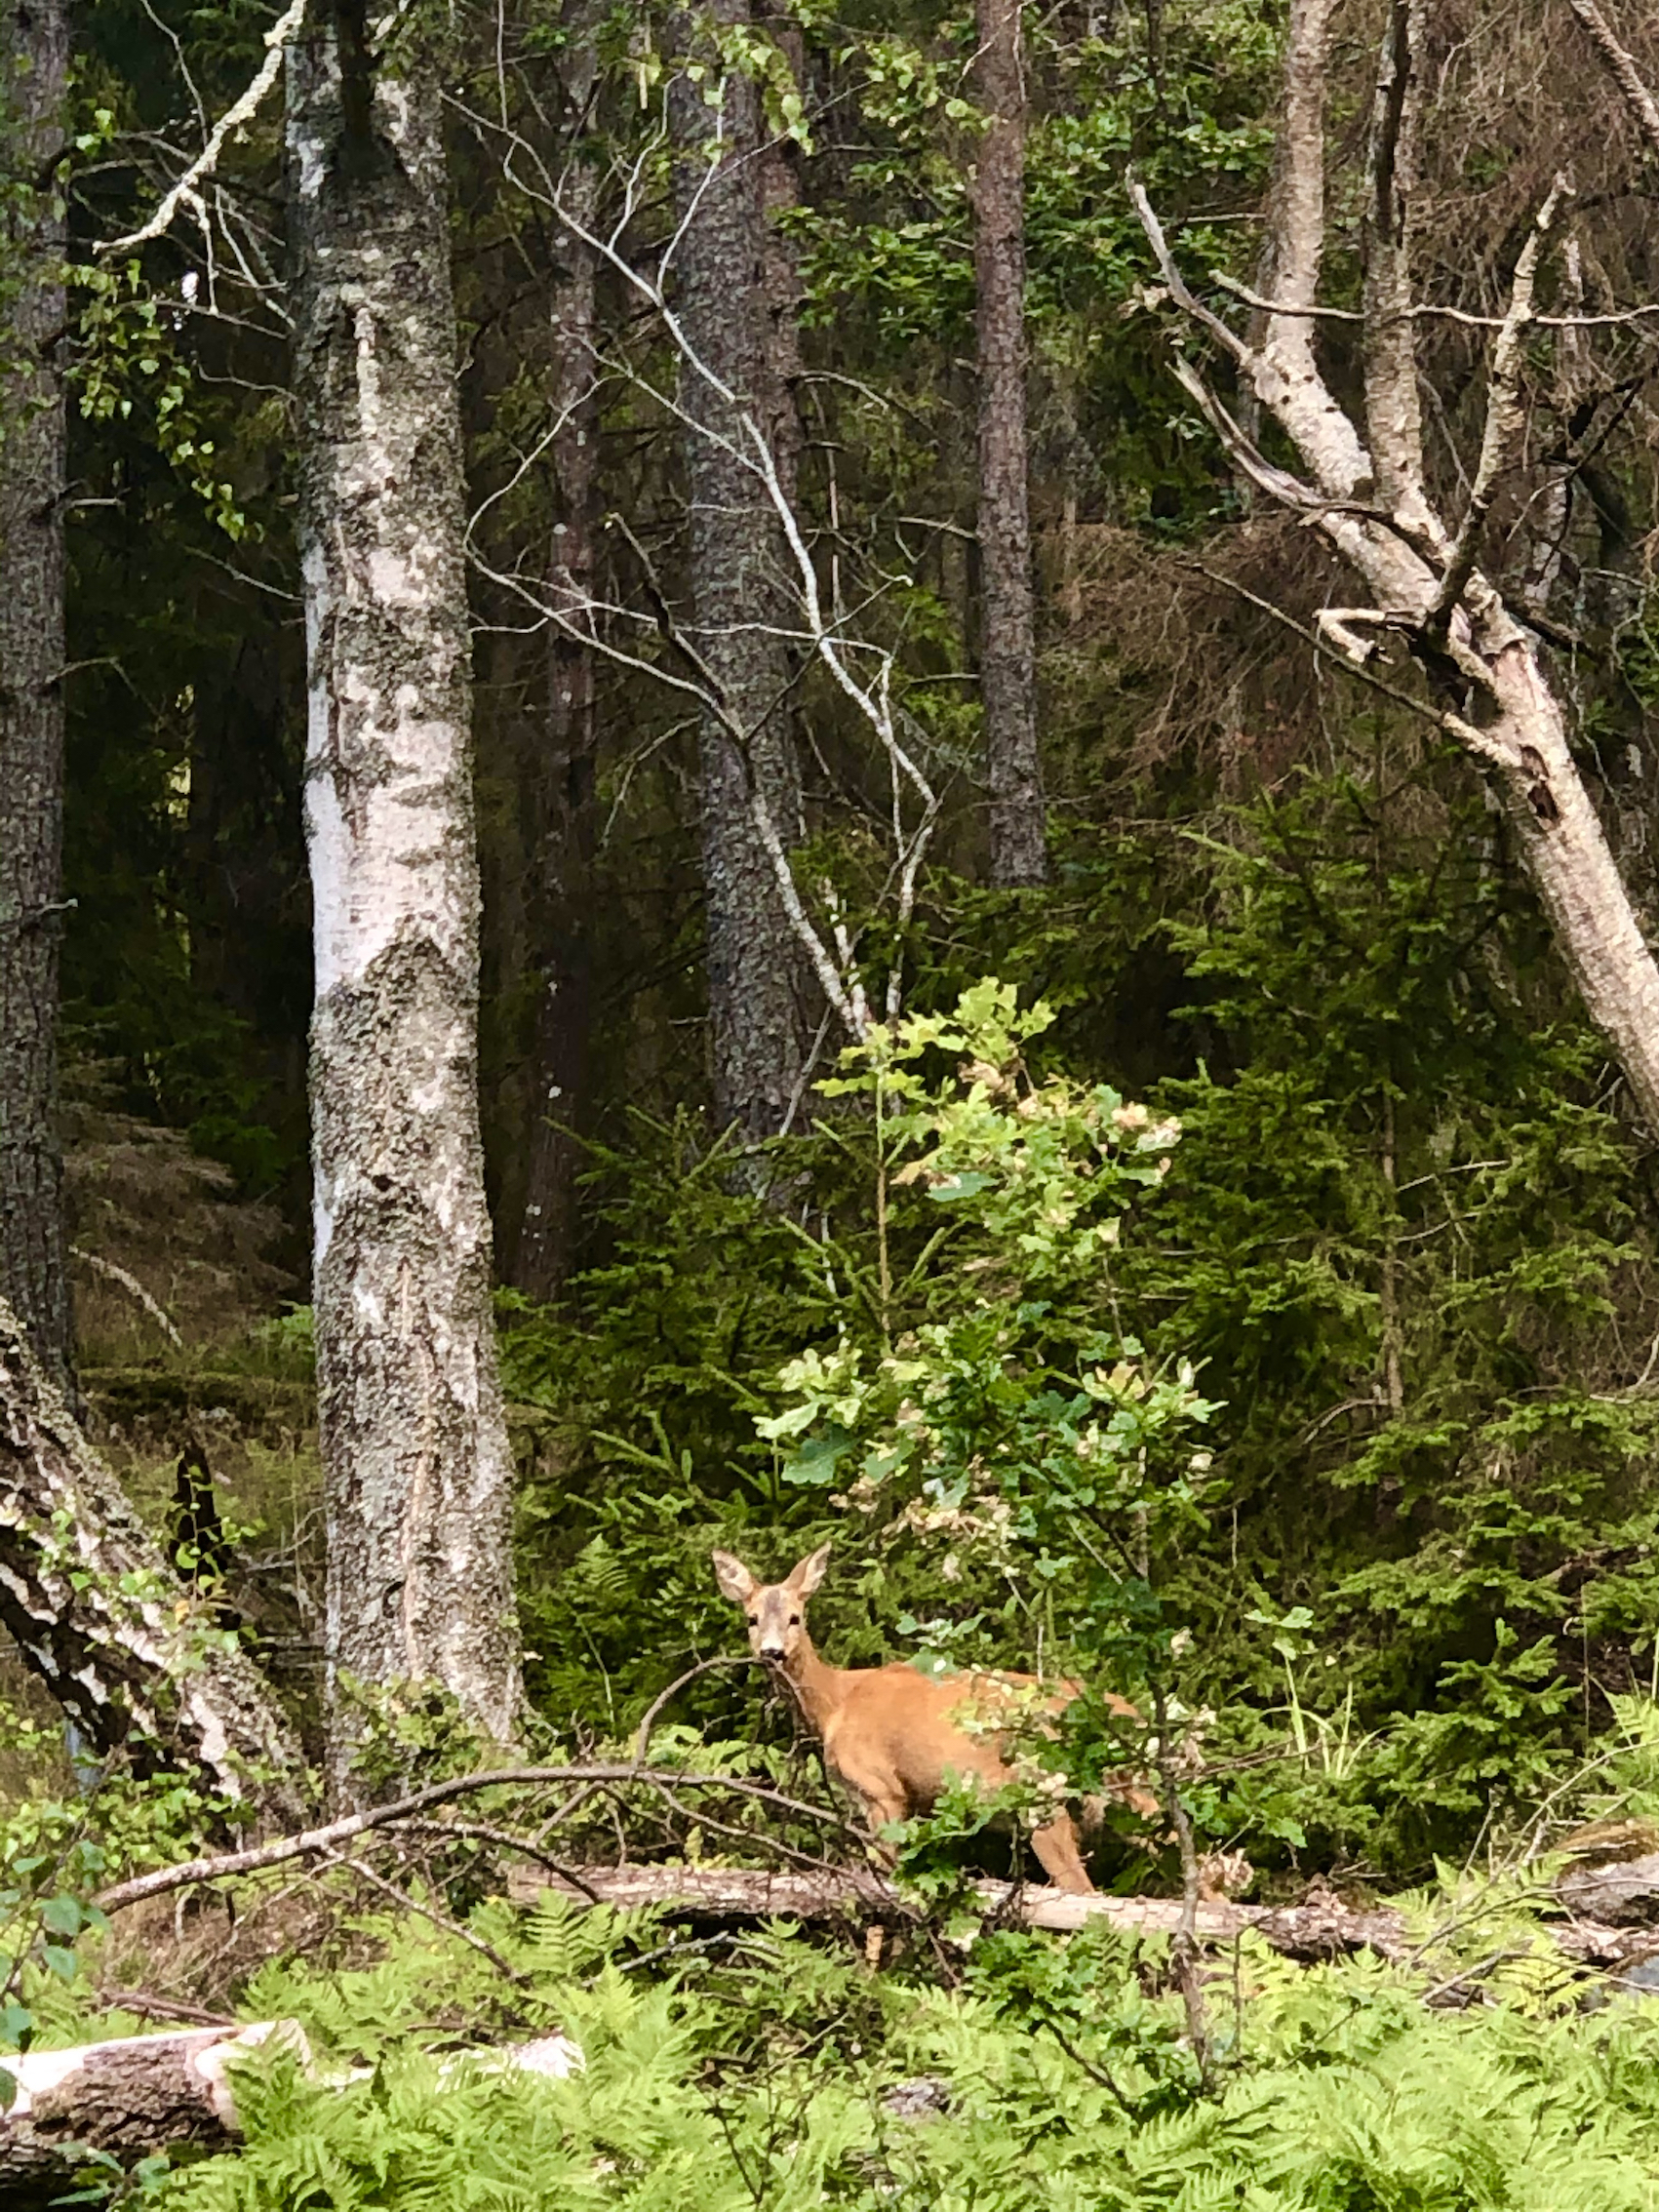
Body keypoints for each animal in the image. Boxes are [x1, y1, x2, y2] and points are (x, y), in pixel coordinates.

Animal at [707, 1539, 1150, 1902]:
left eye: (795, 1617)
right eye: (751, 1618)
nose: (772, 1652)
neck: (837, 1703)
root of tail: (1130, 1715)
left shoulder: (881, 1789)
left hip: (1041, 1792)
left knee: (1081, 1888)